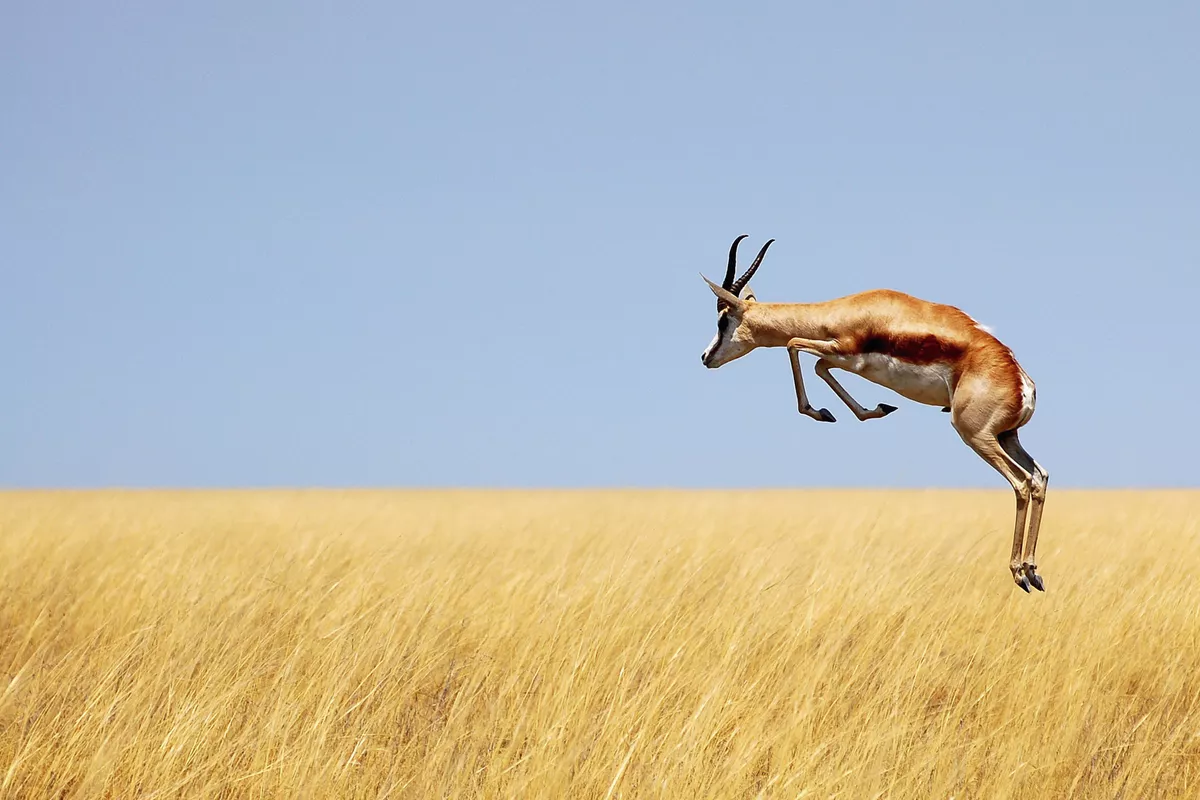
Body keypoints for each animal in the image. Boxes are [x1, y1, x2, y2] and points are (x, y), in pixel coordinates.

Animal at [700, 235, 1046, 592]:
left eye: (723, 320)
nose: (705, 357)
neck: (846, 311)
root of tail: (1022, 383)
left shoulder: (841, 351)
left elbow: (794, 344)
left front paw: (819, 411)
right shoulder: (841, 359)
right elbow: (819, 367)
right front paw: (871, 409)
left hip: (976, 436)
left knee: (1021, 483)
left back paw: (1019, 573)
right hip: (1006, 437)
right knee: (1039, 477)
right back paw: (1033, 570)